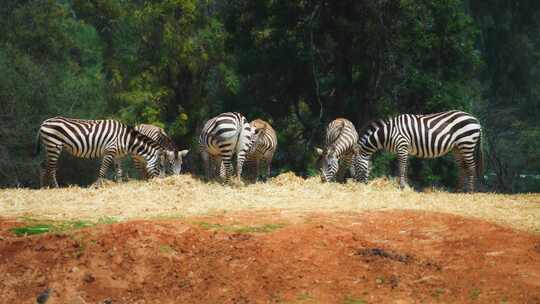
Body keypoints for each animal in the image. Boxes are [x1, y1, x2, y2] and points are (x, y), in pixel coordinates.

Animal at [35, 117, 163, 186]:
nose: (160, 181)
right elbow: (102, 170)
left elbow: (119, 172)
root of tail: (44, 122)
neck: (125, 139)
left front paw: (120, 185)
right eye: (159, 166)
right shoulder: (109, 151)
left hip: (49, 147)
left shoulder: (117, 155)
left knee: (43, 166)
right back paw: (56, 187)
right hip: (54, 146)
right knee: (51, 169)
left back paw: (44, 187)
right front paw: (97, 186)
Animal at [352, 110, 484, 192]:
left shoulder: (402, 146)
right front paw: (405, 186)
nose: (357, 185)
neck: (388, 133)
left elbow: (401, 168)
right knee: (462, 167)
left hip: (467, 143)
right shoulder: (405, 149)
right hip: (457, 147)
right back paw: (458, 190)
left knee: (471, 167)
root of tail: (476, 120)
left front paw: (401, 187)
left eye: (355, 166)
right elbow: (405, 168)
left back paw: (470, 191)